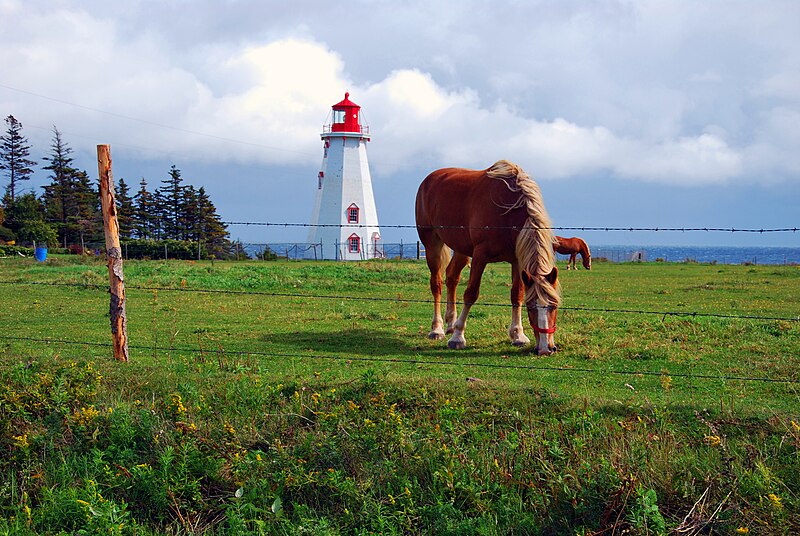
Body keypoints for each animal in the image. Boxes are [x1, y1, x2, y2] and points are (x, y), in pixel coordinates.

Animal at [418, 159, 564, 356]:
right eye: (531, 307)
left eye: (554, 306)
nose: (545, 349)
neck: (506, 214)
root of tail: (428, 180)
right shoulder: (480, 256)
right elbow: (471, 293)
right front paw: (458, 337)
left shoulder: (517, 261)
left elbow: (516, 294)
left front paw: (518, 335)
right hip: (432, 244)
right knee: (437, 284)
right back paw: (438, 329)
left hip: (462, 250)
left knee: (452, 277)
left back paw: (450, 322)